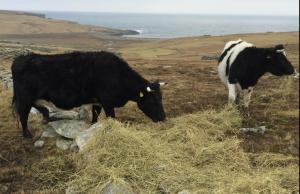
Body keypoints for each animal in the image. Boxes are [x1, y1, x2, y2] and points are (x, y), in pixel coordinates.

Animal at [11, 50, 166, 137]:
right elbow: (112, 118)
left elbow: (95, 115)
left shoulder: (97, 101)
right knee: (23, 114)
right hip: (24, 97)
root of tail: (20, 59)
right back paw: (27, 135)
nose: (163, 118)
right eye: (153, 100)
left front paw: (92, 127)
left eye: (161, 98)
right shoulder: (107, 102)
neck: (118, 76)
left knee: (37, 107)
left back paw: (46, 117)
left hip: (32, 97)